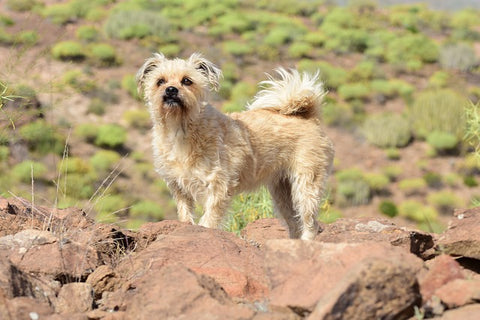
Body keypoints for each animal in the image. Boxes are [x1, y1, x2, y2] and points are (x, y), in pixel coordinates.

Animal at [136, 52, 334, 239]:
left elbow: (209, 219)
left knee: (310, 222)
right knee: (294, 223)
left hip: (306, 184)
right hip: (282, 191)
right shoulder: (178, 187)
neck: (180, 128)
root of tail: (308, 117)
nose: (171, 89)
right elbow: (185, 213)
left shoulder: (218, 185)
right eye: (160, 81)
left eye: (187, 81)